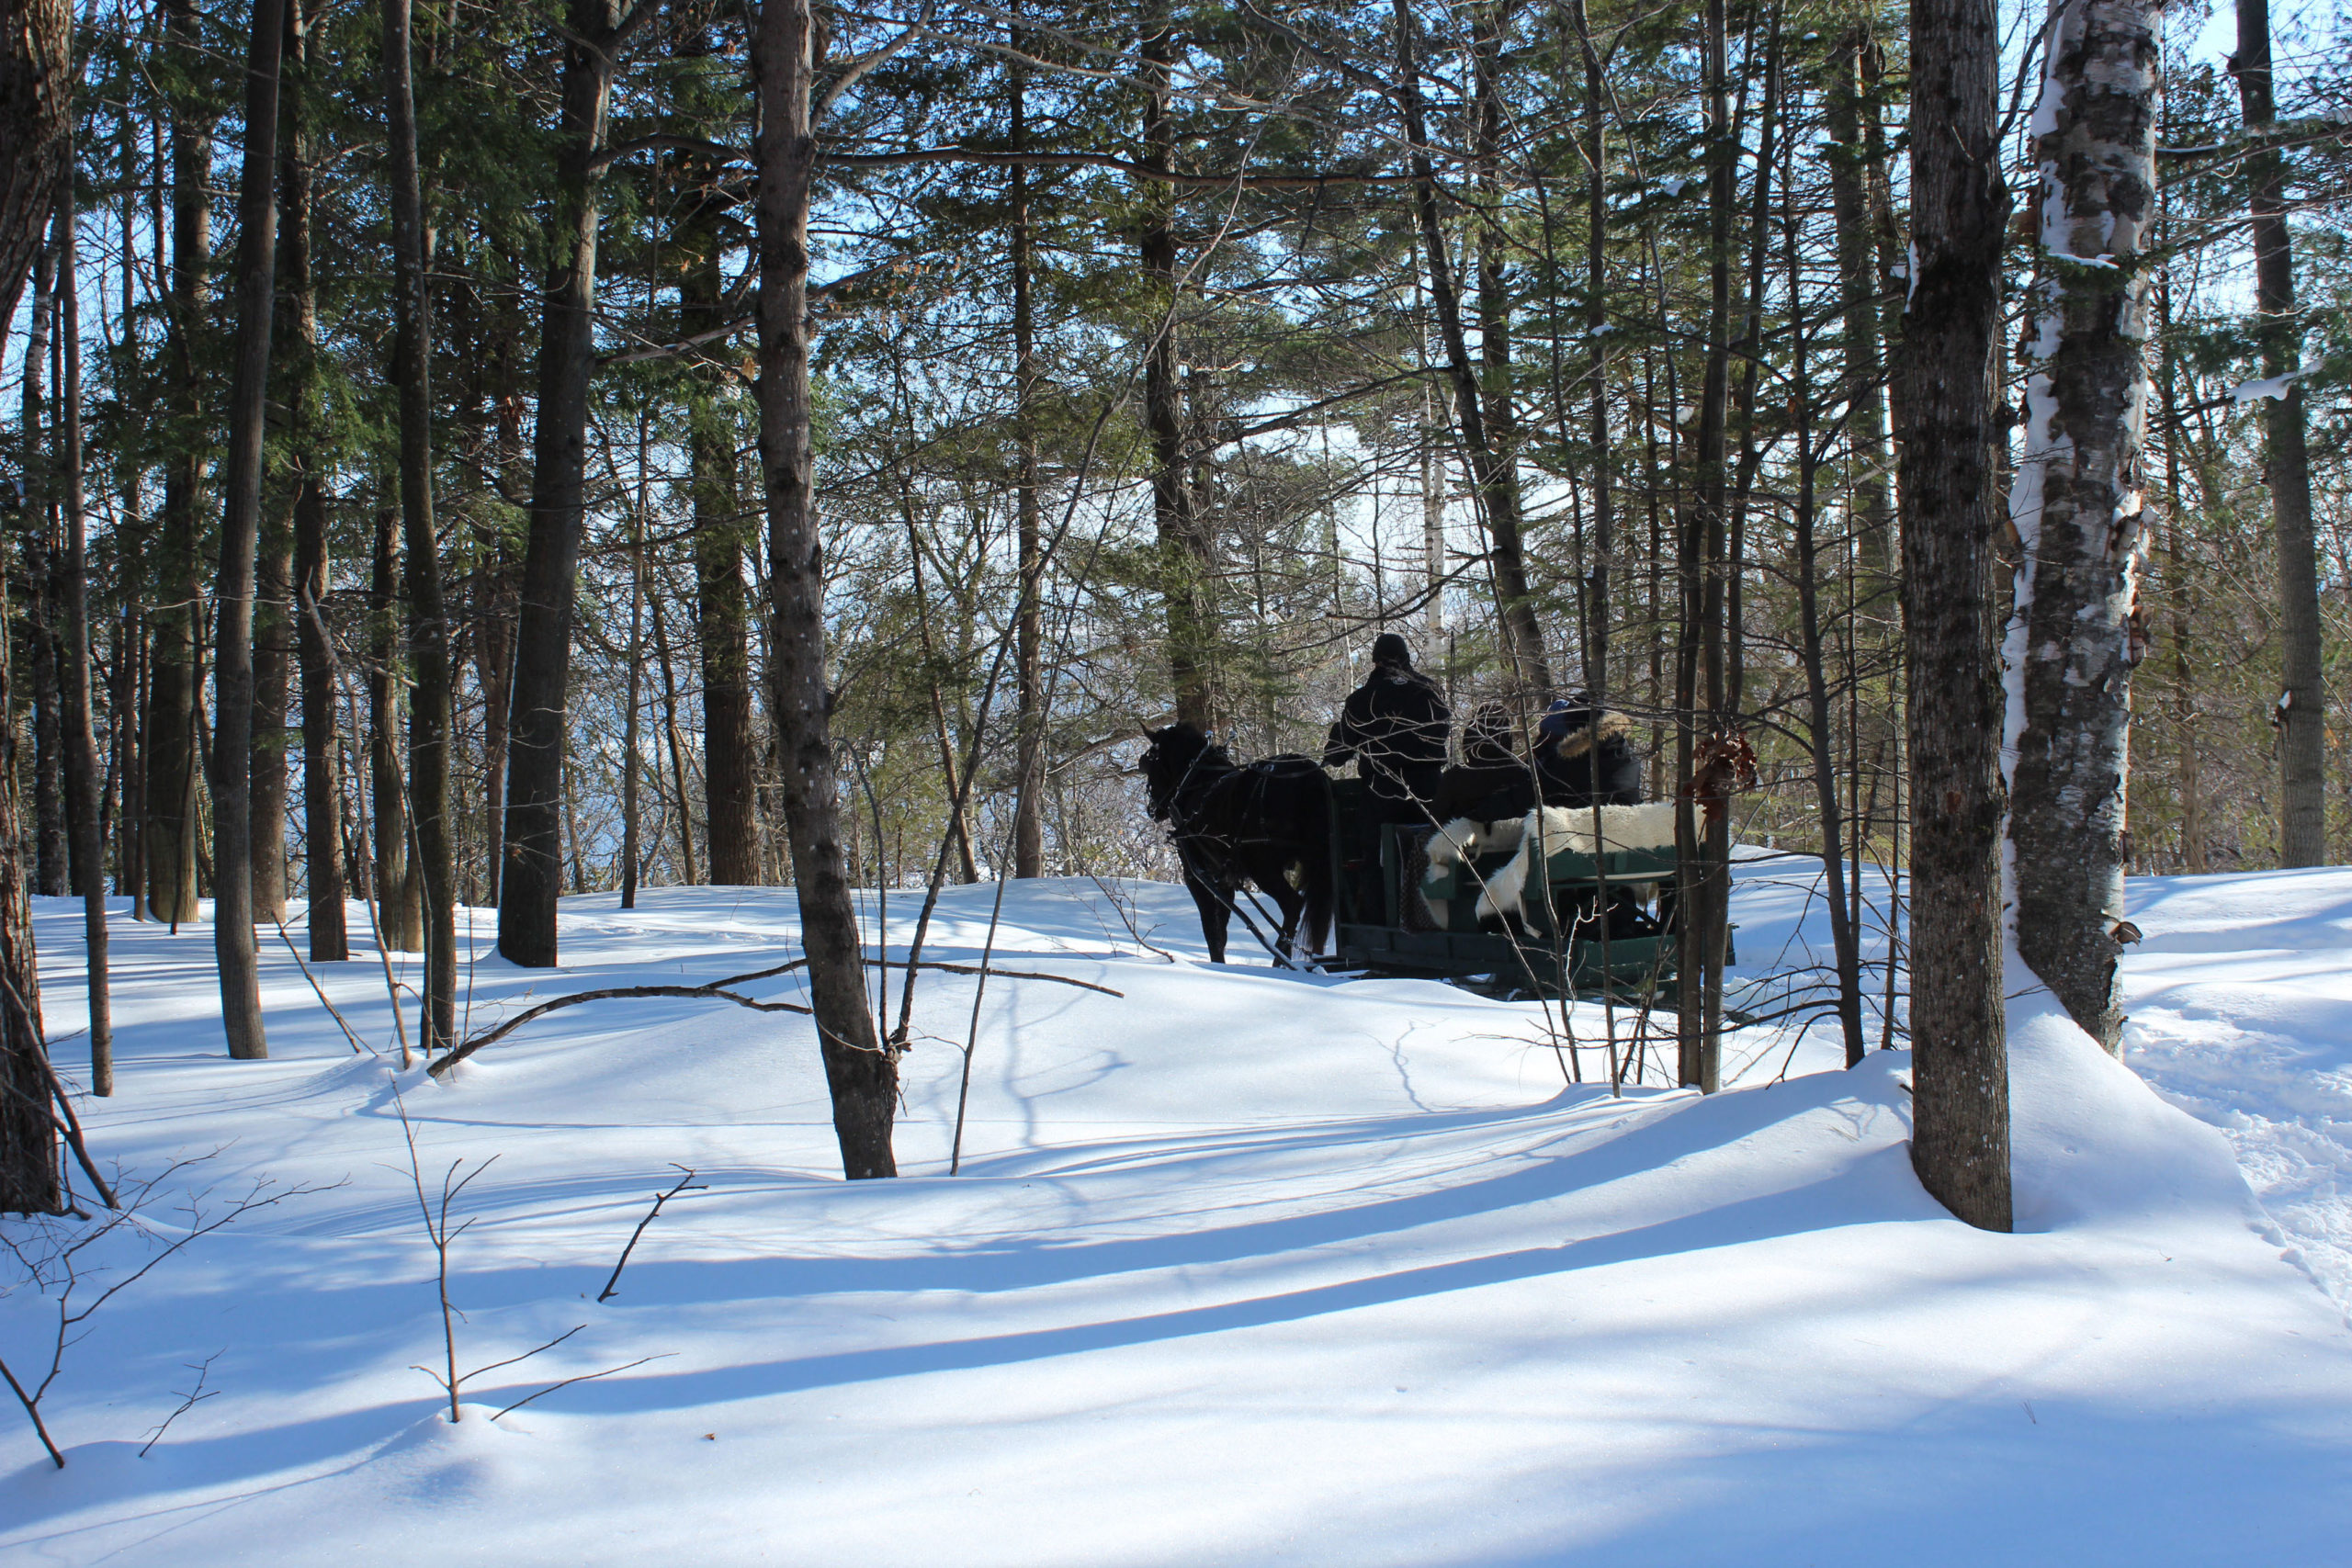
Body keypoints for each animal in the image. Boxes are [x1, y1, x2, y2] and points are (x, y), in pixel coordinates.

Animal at [1143, 728, 1336, 968]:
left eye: (1150, 761)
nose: (1152, 809)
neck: (1197, 783)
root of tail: (1309, 777)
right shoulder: (1224, 879)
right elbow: (1222, 929)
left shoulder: (1196, 875)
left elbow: (1211, 928)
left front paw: (1217, 965)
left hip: (1262, 867)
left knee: (1292, 904)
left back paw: (1280, 961)